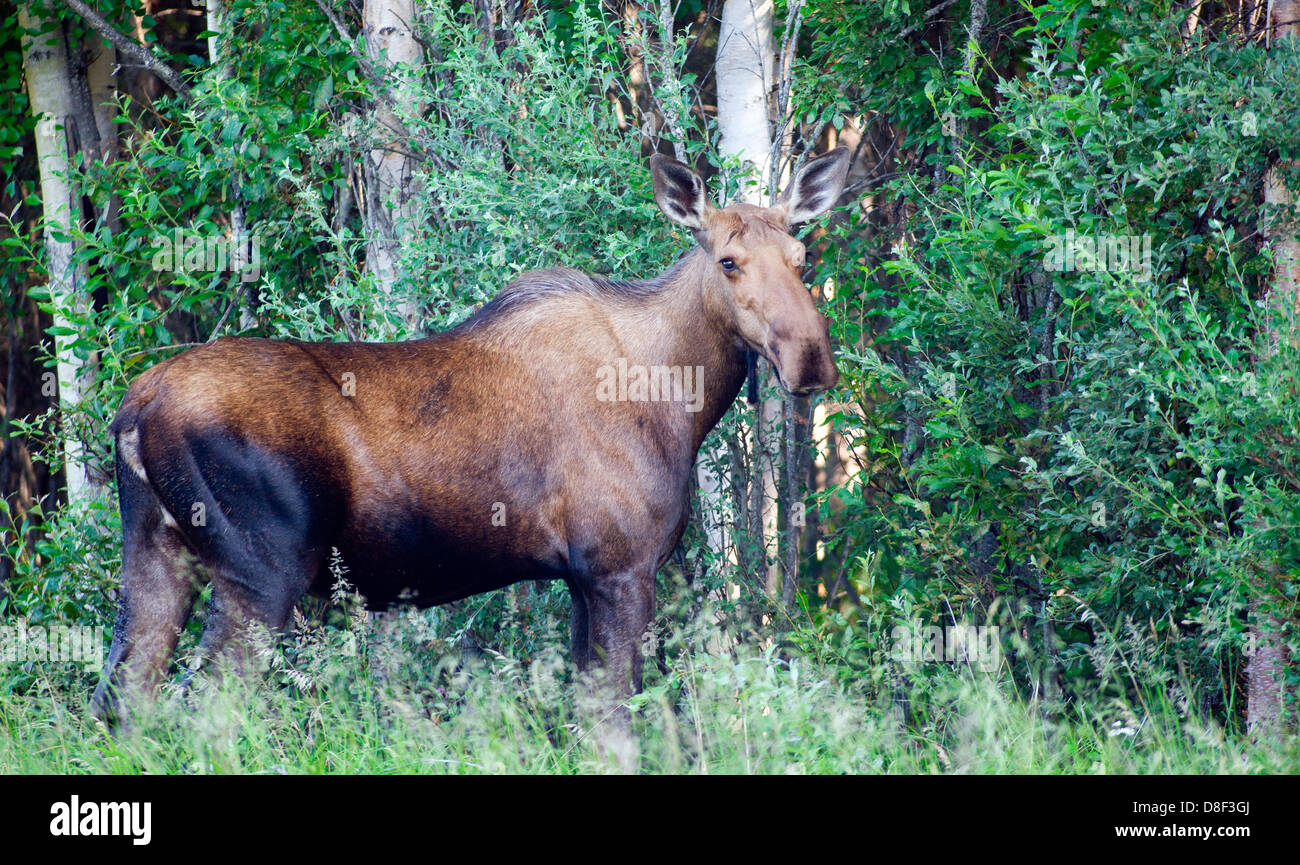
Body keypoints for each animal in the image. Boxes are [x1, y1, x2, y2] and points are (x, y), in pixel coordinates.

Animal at [91, 146, 852, 728]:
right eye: (728, 260)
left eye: (801, 253)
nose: (811, 357)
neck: (680, 398)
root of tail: (133, 411)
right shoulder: (619, 566)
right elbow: (619, 715)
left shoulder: (580, 577)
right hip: (261, 572)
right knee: (206, 708)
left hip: (158, 555)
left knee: (121, 699)